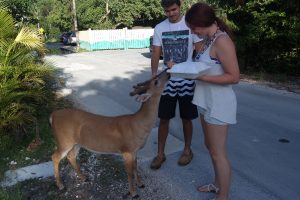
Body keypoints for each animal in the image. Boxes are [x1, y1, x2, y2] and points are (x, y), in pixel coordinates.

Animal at [50, 70, 170, 198]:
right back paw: (60, 185)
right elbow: (129, 172)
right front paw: (133, 193)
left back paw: (83, 177)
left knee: (71, 156)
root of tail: (53, 115)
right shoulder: (126, 150)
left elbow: (136, 167)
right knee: (55, 156)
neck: (138, 125)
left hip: (76, 143)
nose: (168, 73)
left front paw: (141, 184)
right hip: (64, 140)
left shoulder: (135, 150)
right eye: (156, 81)